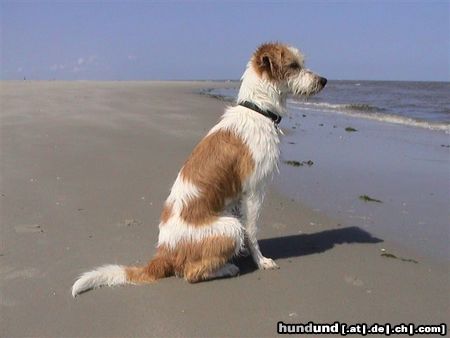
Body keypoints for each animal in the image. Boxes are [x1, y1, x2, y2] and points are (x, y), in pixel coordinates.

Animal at [73, 41, 326, 296]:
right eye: (293, 66)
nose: (324, 80)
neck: (257, 109)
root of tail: (163, 252)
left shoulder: (238, 197)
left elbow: (248, 230)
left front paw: (246, 252)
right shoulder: (254, 191)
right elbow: (252, 230)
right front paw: (261, 260)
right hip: (229, 227)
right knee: (191, 273)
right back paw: (227, 268)